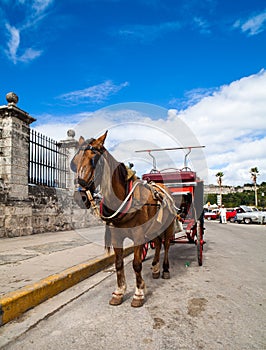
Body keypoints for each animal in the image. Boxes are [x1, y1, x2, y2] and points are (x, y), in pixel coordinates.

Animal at [71, 131, 177, 306]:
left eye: (94, 159)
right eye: (73, 163)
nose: (80, 198)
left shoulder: (139, 235)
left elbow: (136, 264)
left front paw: (139, 293)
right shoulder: (116, 236)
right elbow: (119, 263)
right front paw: (119, 291)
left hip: (168, 226)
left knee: (167, 245)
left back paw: (166, 269)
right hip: (154, 227)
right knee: (158, 243)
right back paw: (155, 268)